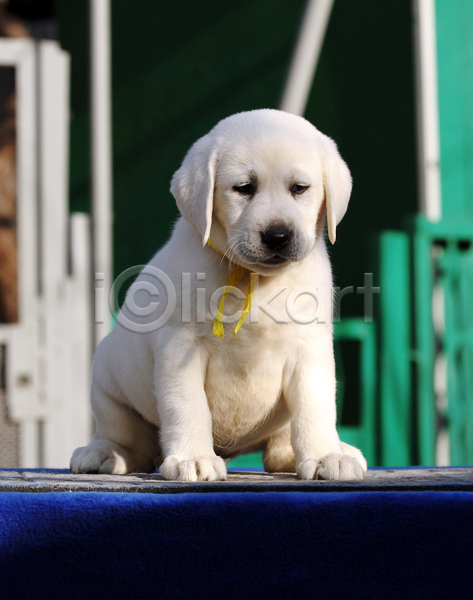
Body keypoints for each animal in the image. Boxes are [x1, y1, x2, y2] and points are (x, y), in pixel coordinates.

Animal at [70, 109, 366, 482]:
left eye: (299, 188)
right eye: (244, 188)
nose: (278, 236)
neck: (255, 279)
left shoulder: (309, 348)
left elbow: (315, 406)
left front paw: (327, 455)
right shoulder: (180, 346)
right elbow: (188, 405)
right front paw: (193, 458)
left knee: (278, 450)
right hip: (107, 384)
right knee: (128, 439)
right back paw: (106, 453)